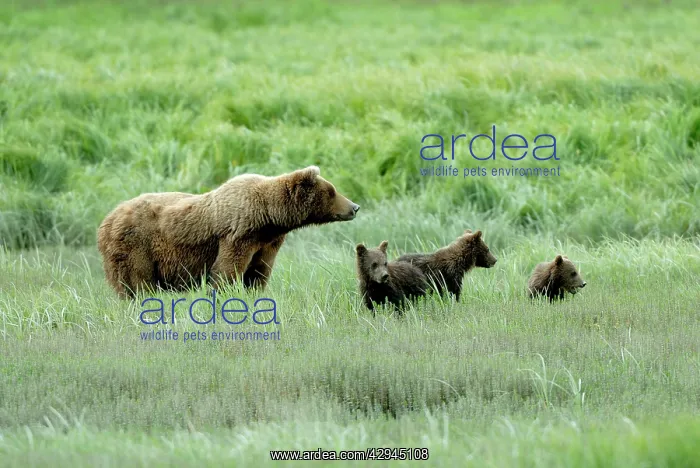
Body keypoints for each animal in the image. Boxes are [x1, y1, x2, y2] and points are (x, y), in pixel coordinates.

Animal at [97, 166, 360, 299]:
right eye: (332, 192)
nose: (354, 207)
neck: (268, 217)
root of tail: (106, 221)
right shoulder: (238, 234)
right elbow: (227, 269)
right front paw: (224, 293)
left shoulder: (267, 242)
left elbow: (259, 271)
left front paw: (254, 292)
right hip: (136, 245)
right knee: (137, 281)